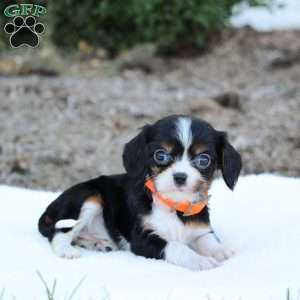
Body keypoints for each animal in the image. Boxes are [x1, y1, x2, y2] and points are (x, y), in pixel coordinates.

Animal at [39, 114, 241, 270]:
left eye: (203, 160)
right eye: (161, 155)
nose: (180, 177)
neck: (173, 205)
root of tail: (49, 209)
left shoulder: (201, 229)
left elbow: (208, 239)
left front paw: (221, 251)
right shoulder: (143, 239)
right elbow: (177, 246)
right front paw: (199, 260)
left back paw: (99, 244)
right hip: (89, 198)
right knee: (59, 233)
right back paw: (67, 251)